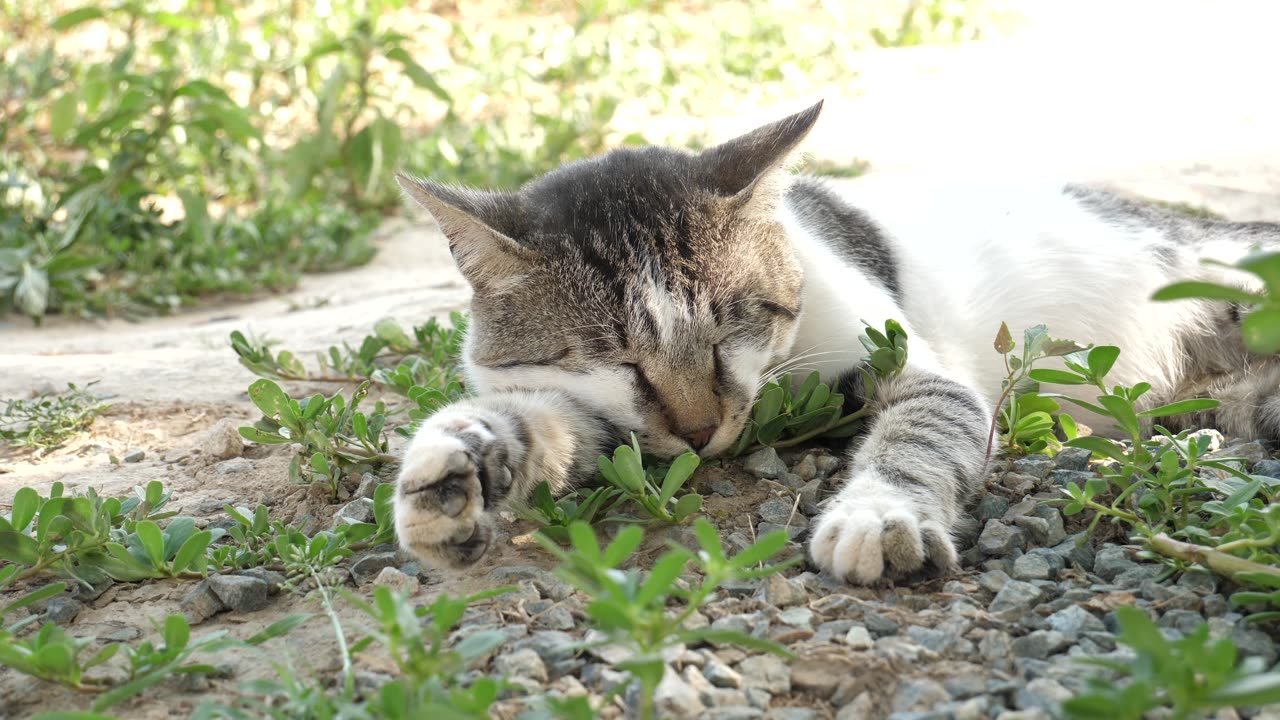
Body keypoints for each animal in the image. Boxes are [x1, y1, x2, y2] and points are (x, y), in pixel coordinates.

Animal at [391, 99, 1280, 584]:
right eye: (616, 359)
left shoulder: (917, 368)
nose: (702, 431)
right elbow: (547, 424)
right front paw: (457, 464)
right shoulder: (613, 423)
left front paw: (879, 513)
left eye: (731, 326)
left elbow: (921, 434)